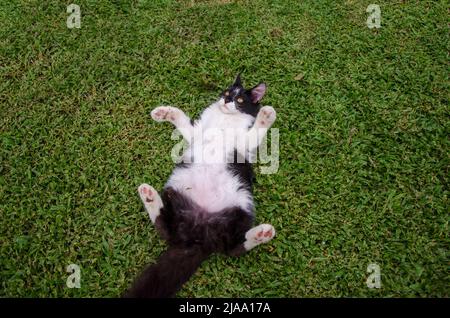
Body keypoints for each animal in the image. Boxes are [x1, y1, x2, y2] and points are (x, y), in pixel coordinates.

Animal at [125, 74, 276, 298]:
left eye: (240, 100)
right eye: (227, 92)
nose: (227, 100)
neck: (225, 118)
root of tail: (199, 235)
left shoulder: (244, 142)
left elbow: (256, 132)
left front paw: (267, 114)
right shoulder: (196, 133)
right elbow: (182, 120)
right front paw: (163, 112)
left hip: (241, 206)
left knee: (233, 248)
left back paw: (262, 233)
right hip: (175, 191)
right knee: (165, 227)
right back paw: (149, 194)